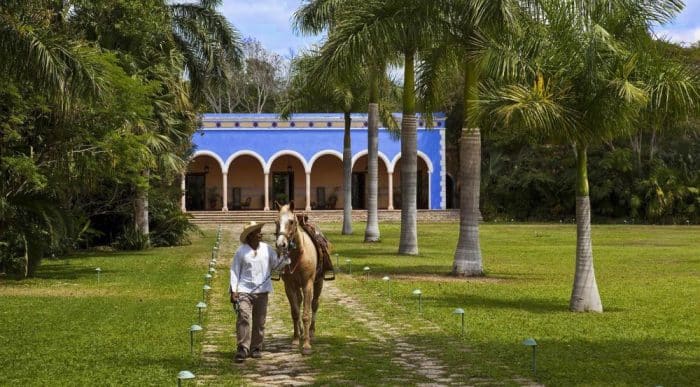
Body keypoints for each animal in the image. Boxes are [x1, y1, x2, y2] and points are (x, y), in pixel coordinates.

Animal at [276, 202, 326, 356]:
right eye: (276, 222)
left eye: (291, 221)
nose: (281, 244)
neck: (298, 255)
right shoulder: (289, 285)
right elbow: (295, 312)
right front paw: (295, 340)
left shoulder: (307, 284)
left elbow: (306, 314)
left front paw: (306, 345)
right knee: (299, 301)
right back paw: (303, 332)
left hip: (318, 282)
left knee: (315, 304)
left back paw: (311, 333)